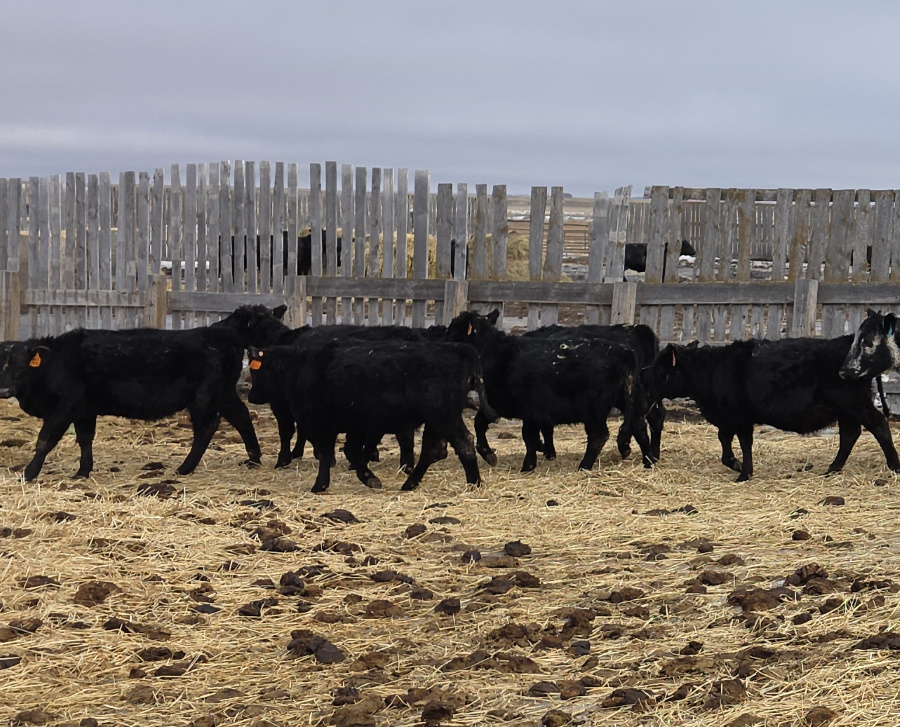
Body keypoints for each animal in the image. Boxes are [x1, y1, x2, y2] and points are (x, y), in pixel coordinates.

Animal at [0, 327, 262, 482]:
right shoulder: (84, 411)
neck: (55, 363)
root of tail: (218, 333)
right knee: (241, 415)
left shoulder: (63, 408)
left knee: (206, 429)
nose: (4, 390)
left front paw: (28, 473)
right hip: (224, 394)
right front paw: (83, 471)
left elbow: (45, 440)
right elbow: (85, 439)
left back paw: (184, 468)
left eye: (21, 366)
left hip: (204, 398)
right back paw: (253, 457)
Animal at [245, 339, 495, 493]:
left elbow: (328, 454)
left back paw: (474, 483)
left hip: (443, 416)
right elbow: (351, 452)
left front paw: (320, 485)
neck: (300, 368)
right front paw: (369, 477)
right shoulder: (356, 426)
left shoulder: (321, 425)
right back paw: (410, 483)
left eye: (256, 370)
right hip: (436, 421)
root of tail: (456, 347)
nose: (251, 395)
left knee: (463, 443)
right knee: (432, 451)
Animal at [650, 336, 900, 481]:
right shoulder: (727, 418)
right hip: (846, 409)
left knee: (877, 424)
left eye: (660, 367)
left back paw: (894, 465)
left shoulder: (740, 418)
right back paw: (832, 469)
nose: (643, 374)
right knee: (850, 434)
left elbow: (744, 442)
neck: (713, 369)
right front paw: (736, 464)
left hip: (853, 403)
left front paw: (744, 473)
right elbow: (724, 442)